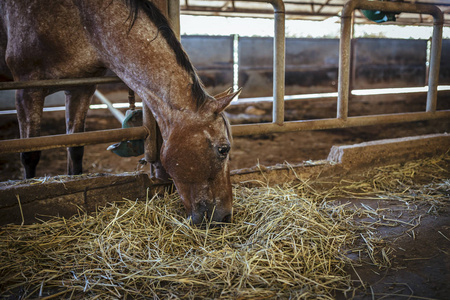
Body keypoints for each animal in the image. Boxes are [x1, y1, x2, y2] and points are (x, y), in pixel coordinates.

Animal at [0, 0, 241, 224]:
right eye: (223, 149)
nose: (226, 216)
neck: (81, 20)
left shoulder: (81, 88)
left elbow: (76, 148)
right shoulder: (27, 90)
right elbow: (30, 153)